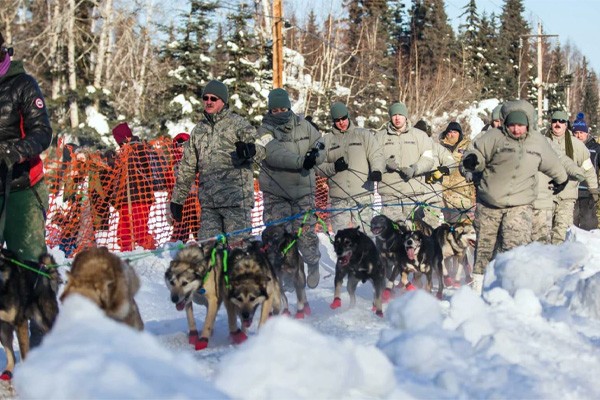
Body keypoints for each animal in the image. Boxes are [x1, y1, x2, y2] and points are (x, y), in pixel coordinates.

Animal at [0, 252, 61, 380]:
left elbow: (23, 352)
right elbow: (9, 353)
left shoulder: (19, 322)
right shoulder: (3, 325)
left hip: (44, 318)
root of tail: (45, 271)